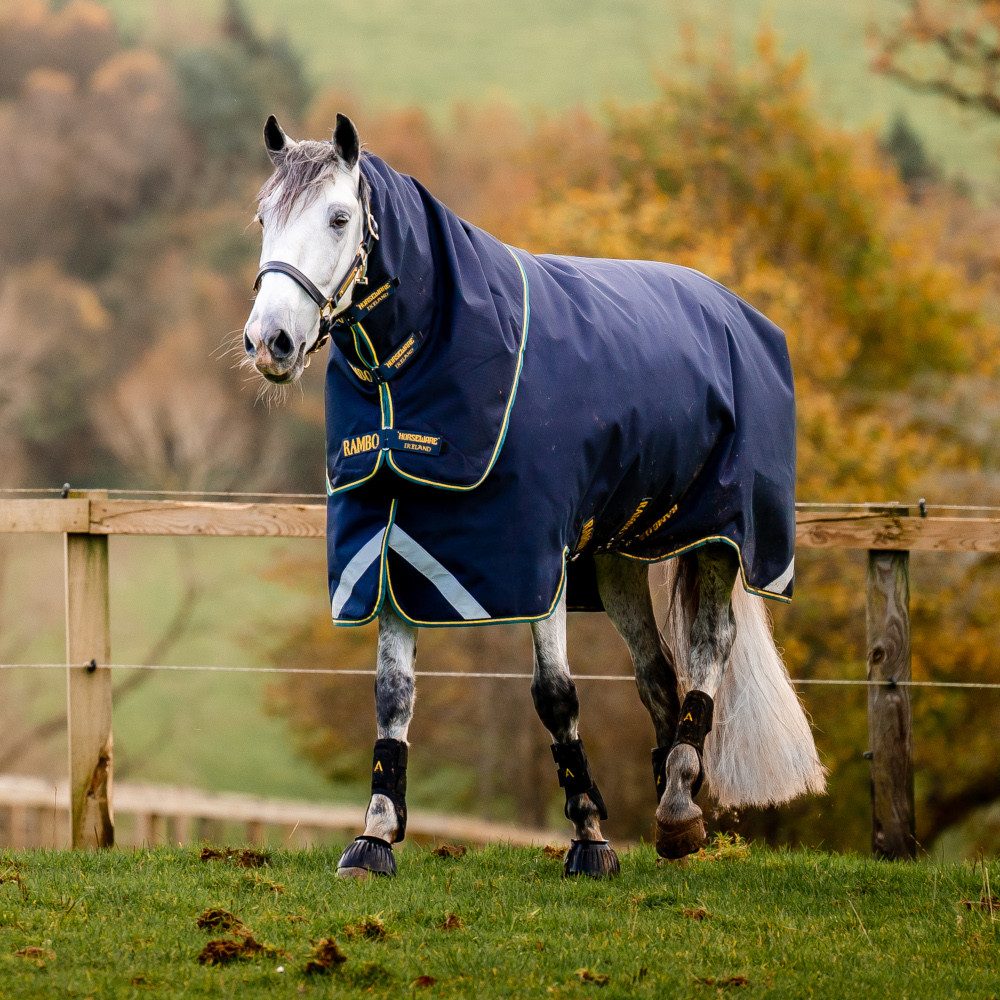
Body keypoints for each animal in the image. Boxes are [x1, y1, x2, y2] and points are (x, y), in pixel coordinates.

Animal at [243, 113, 826, 879]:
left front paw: (591, 839)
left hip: (722, 539)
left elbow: (554, 695)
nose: (269, 342)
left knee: (708, 647)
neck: (425, 363)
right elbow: (392, 694)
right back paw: (675, 803)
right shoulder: (395, 540)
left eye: (339, 218)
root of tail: (735, 310)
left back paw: (677, 805)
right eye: (263, 219)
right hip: (616, 553)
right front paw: (375, 836)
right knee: (656, 672)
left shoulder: (534, 552)